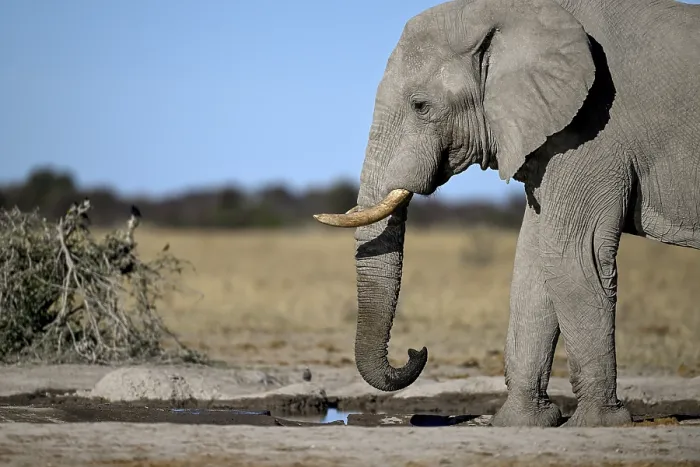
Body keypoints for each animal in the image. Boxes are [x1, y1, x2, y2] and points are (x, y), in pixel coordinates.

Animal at [313, 0, 700, 427]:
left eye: (420, 106)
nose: (416, 352)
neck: (513, 12)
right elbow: (533, 264)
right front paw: (522, 423)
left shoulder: (595, 130)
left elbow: (572, 256)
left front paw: (599, 425)